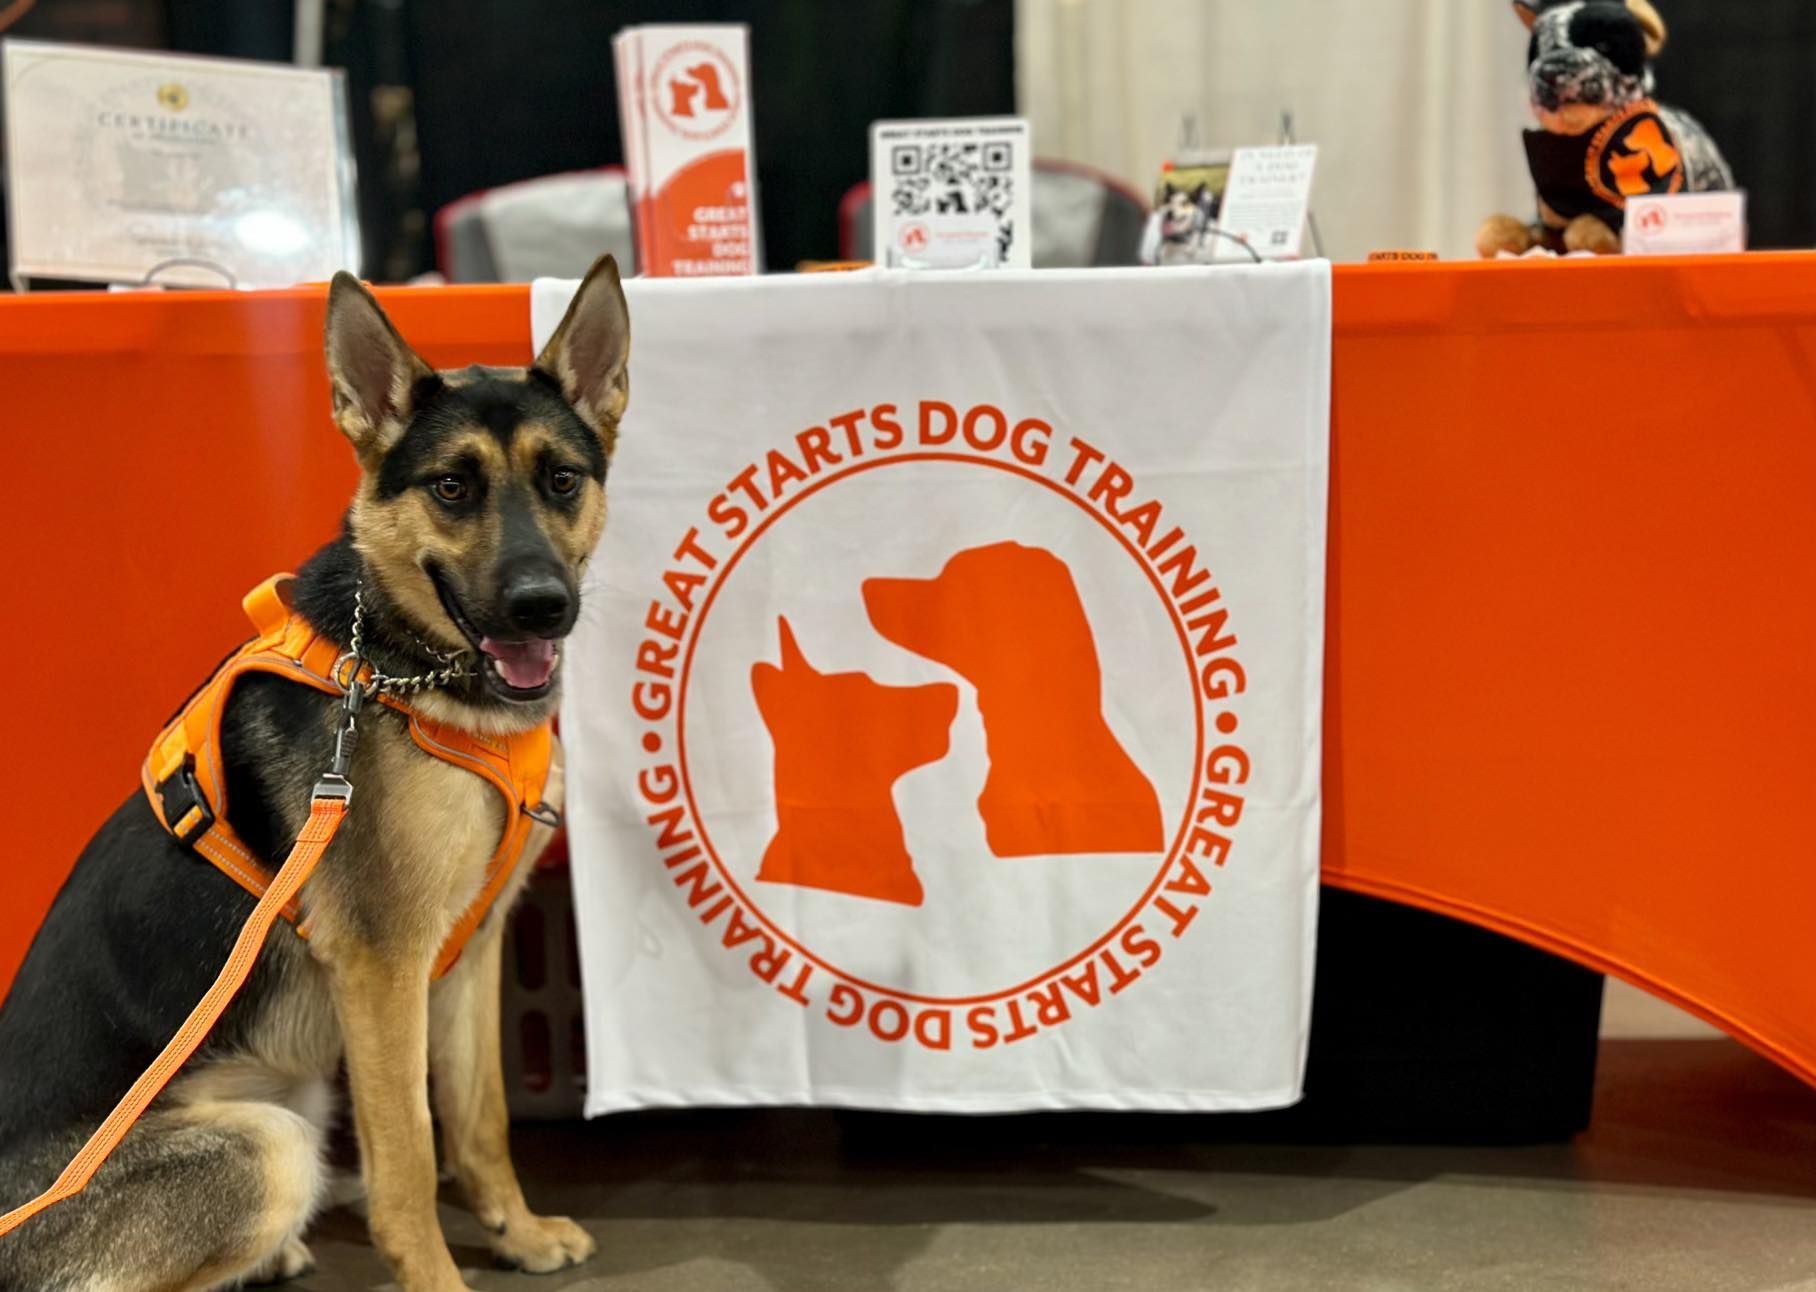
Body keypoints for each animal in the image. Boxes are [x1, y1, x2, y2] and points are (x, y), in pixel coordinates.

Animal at [0, 254, 631, 1292]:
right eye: (451, 486)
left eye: (562, 479)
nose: (543, 606)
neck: (414, 671)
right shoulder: (384, 969)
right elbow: (410, 1157)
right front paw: (436, 1279)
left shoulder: (470, 956)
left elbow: (480, 1120)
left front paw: (519, 1233)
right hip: (274, 1142)